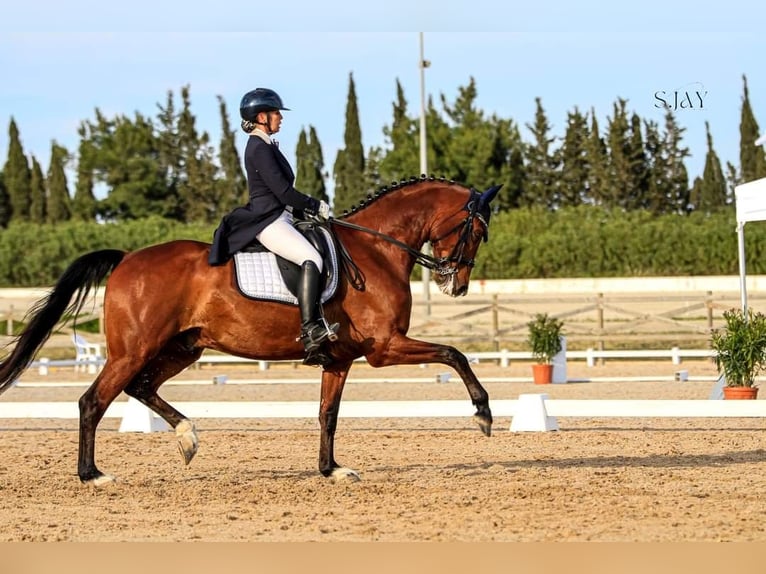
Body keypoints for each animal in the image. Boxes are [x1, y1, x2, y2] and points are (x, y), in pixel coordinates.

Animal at [1, 179, 504, 486]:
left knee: (141, 387)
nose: (456, 284)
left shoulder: (341, 359)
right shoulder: (384, 347)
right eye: (478, 230)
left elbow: (328, 415)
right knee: (94, 401)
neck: (376, 249)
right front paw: (483, 414)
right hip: (133, 350)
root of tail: (127, 258)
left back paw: (187, 437)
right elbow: (454, 354)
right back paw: (94, 474)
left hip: (182, 349)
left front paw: (331, 470)